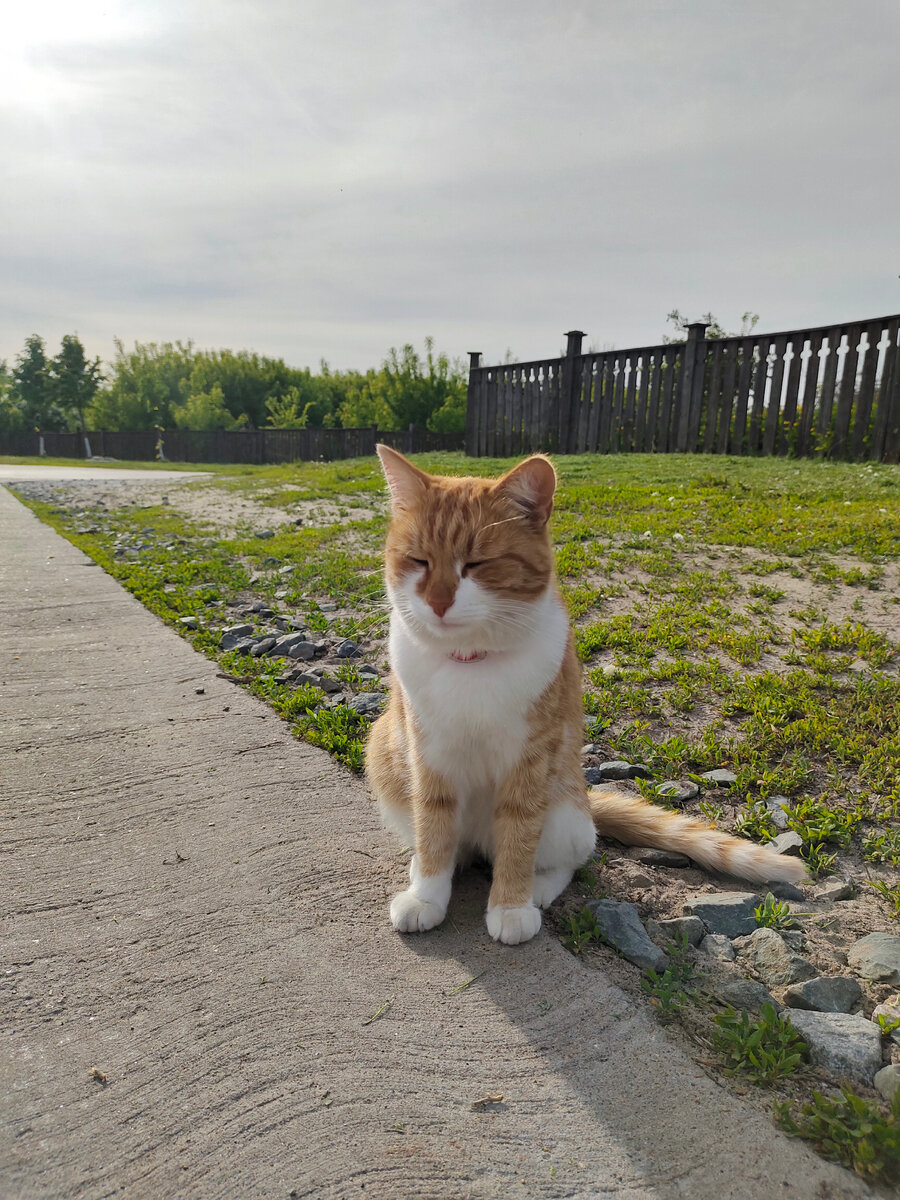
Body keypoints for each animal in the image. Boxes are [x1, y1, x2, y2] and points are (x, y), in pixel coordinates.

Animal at [367, 446, 811, 940]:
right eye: (418, 561)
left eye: (477, 564)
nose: (439, 602)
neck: (471, 662)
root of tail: (585, 796)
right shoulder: (428, 758)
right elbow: (434, 832)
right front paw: (427, 895)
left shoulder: (532, 762)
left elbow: (519, 835)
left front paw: (511, 905)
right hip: (387, 760)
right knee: (452, 848)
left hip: (563, 812)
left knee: (569, 857)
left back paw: (538, 889)